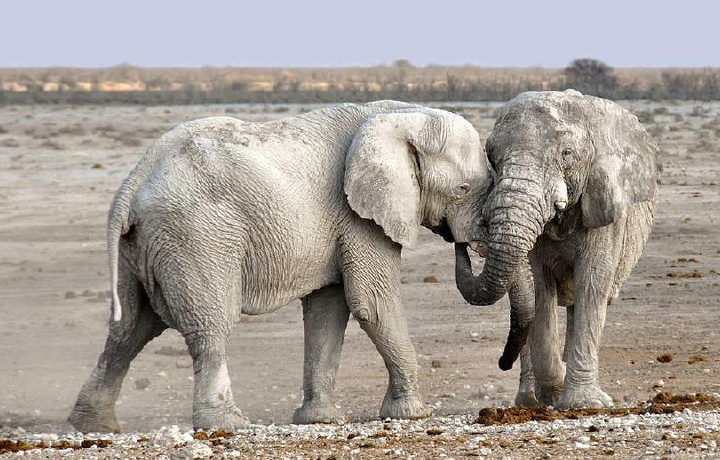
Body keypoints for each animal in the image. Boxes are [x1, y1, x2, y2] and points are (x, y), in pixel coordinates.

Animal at [69, 99, 496, 432]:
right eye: (462, 190)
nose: (462, 243)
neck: (399, 115)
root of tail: (134, 181)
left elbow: (327, 311)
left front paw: (320, 419)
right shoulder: (359, 217)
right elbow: (372, 303)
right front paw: (412, 414)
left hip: (141, 246)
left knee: (129, 328)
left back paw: (93, 425)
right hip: (196, 237)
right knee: (209, 326)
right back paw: (228, 425)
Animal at [456, 90, 660, 410]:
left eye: (567, 154)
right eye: (491, 156)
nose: (464, 242)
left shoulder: (604, 207)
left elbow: (593, 283)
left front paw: (584, 404)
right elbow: (540, 289)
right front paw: (555, 391)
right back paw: (529, 401)